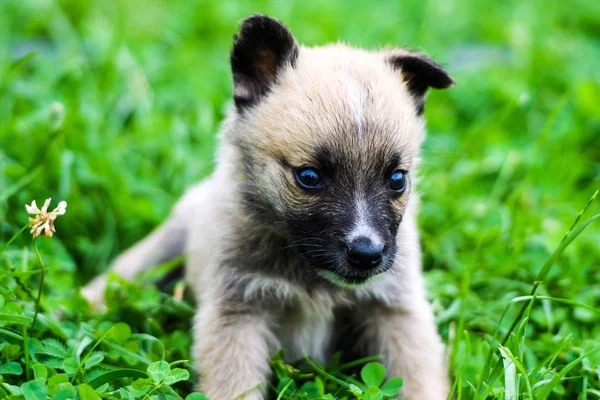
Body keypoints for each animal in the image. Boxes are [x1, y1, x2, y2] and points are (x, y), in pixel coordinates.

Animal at [82, 14, 452, 398]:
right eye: (309, 176)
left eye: (397, 179)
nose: (366, 254)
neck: (308, 270)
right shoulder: (237, 313)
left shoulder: (397, 310)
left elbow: (417, 379)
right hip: (163, 247)